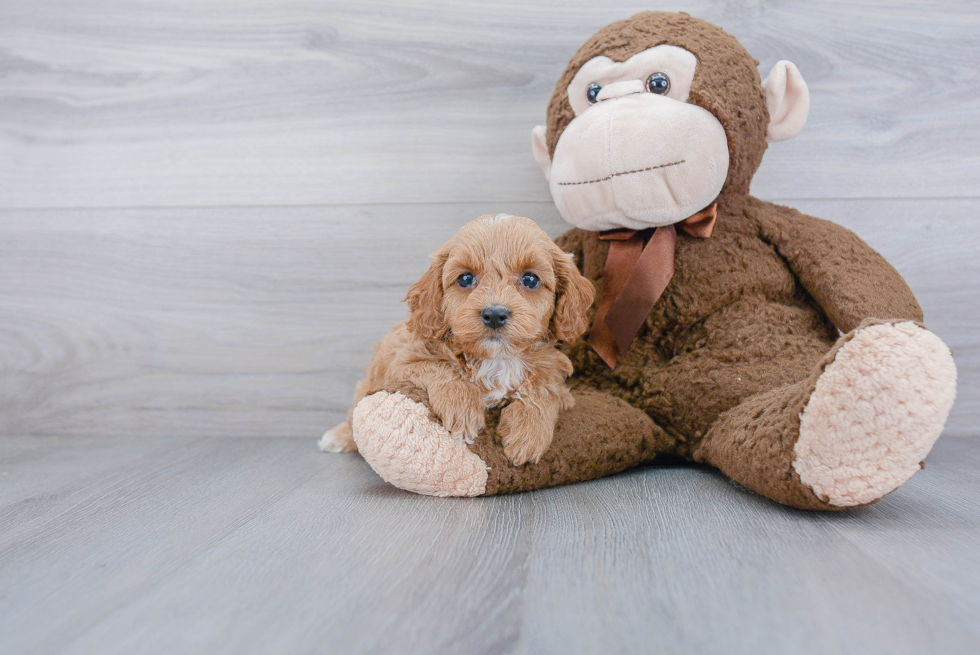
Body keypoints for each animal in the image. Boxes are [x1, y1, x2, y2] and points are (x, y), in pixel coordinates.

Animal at [324, 214, 596, 466]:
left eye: (530, 279)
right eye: (465, 278)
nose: (494, 314)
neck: (497, 359)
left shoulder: (556, 376)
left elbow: (545, 390)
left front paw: (528, 434)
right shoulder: (401, 361)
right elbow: (440, 367)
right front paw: (462, 408)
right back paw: (338, 437)